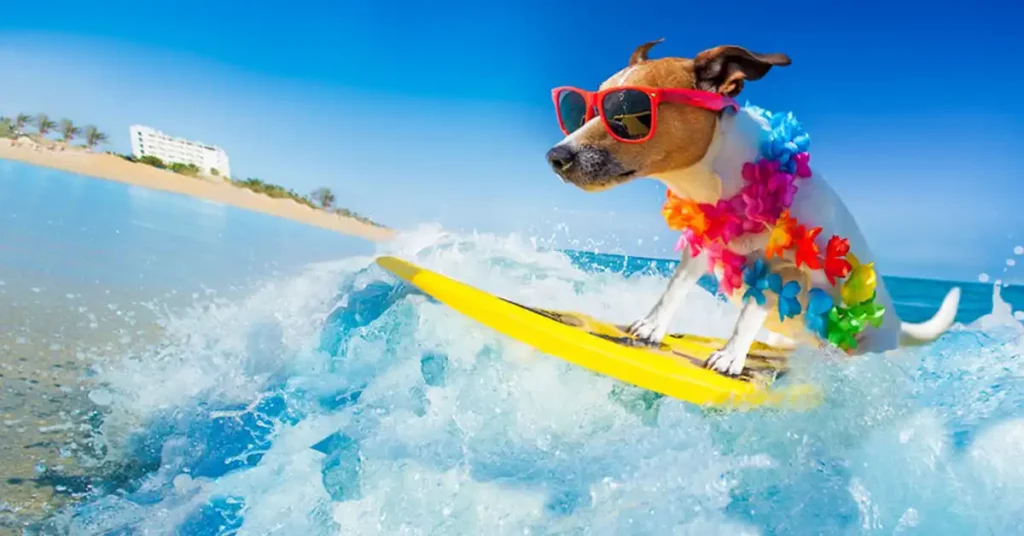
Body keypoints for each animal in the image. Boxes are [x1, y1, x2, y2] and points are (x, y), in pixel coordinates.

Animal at [544, 40, 958, 377]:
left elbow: (749, 313)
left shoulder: (784, 270)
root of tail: (897, 323)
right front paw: (651, 327)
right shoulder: (702, 246)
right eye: (582, 110)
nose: (555, 156)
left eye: (628, 111)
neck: (718, 181)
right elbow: (674, 289)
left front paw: (730, 357)